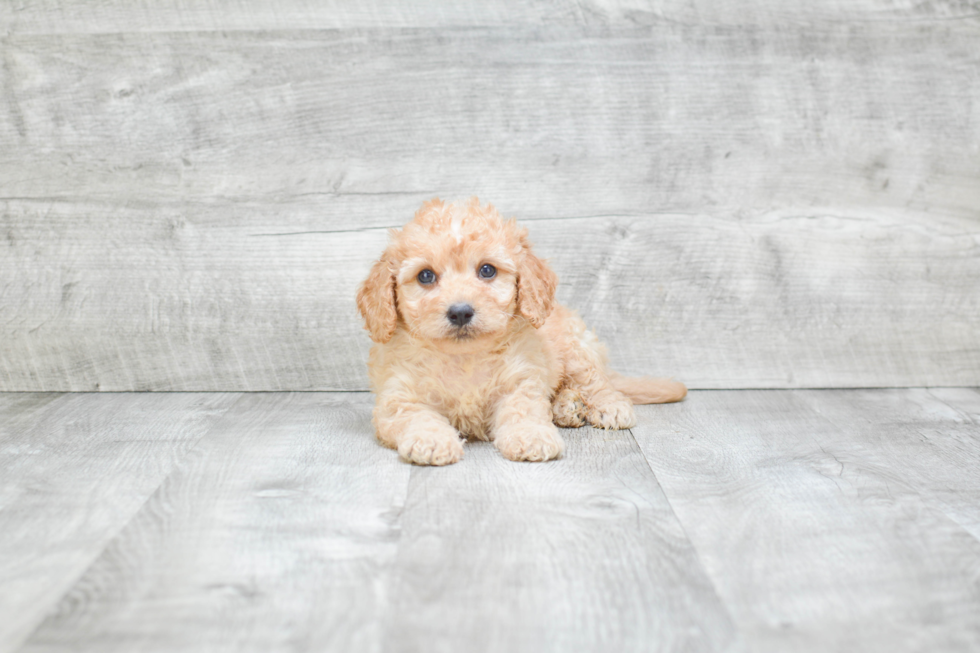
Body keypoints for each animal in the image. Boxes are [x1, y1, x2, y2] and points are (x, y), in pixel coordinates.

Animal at [356, 197, 684, 464]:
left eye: (487, 270)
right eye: (425, 276)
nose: (460, 312)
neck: (464, 357)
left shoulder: (520, 381)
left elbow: (523, 409)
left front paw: (531, 437)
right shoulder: (398, 397)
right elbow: (417, 416)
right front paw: (432, 439)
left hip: (575, 349)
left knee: (596, 382)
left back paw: (607, 406)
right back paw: (568, 407)